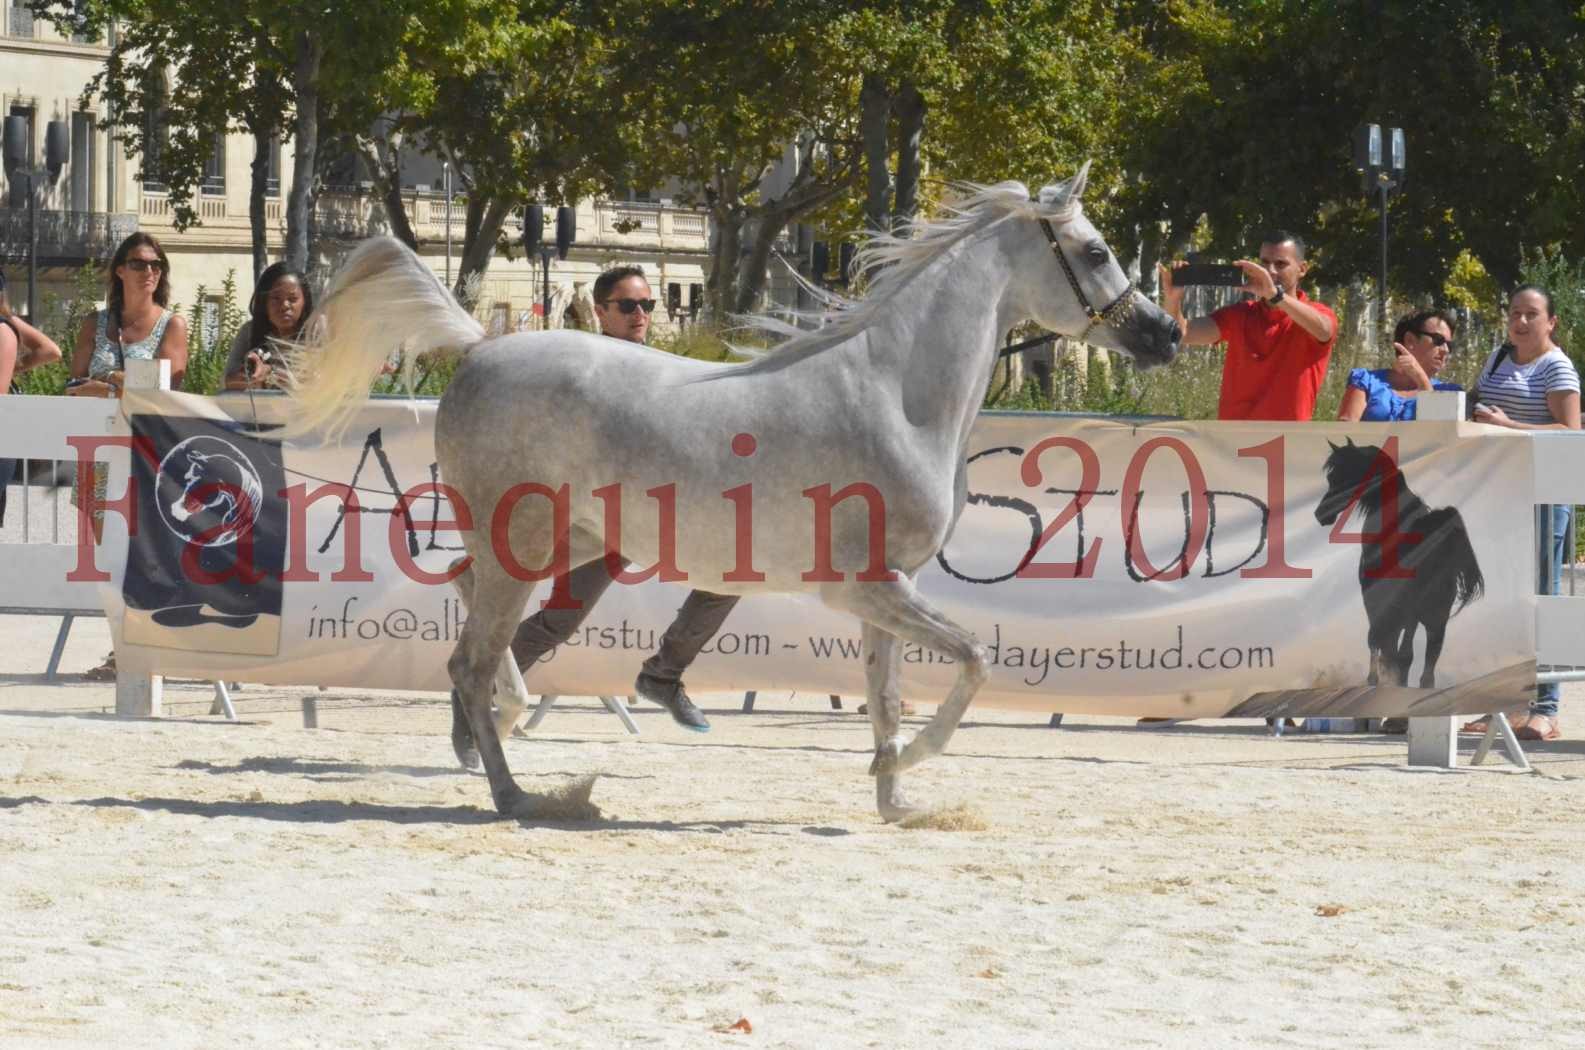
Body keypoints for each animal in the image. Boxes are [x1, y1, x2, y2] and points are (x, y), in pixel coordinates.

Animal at [282, 166, 1179, 824]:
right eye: (1095, 250)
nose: (1165, 334)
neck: (895, 395)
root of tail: (477, 347)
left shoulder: (888, 592)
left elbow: (887, 694)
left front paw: (894, 795)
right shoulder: (864, 587)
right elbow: (972, 660)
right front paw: (913, 764)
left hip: (551, 545)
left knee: (471, 614)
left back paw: (499, 724)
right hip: (522, 549)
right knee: (468, 656)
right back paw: (517, 792)